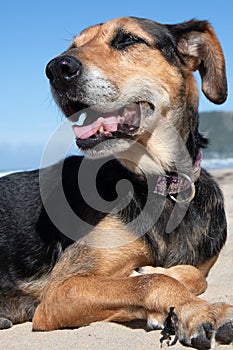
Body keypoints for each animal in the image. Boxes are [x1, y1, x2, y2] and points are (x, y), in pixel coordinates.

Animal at [0, 15, 233, 348]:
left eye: (127, 39)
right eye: (72, 47)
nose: (56, 68)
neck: (160, 184)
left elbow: (190, 274)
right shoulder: (61, 290)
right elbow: (152, 280)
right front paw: (198, 310)